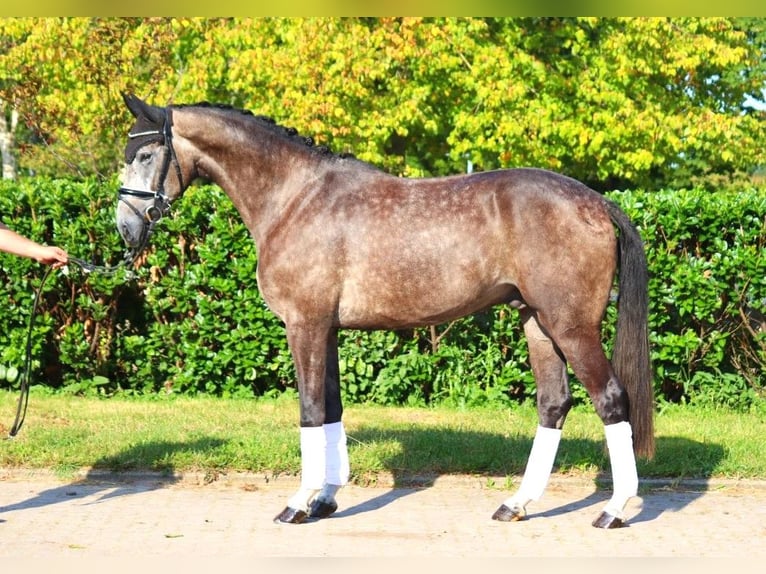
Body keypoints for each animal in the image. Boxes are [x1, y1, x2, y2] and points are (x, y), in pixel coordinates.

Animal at [117, 93, 656, 532]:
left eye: (144, 154)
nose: (125, 228)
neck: (294, 198)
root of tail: (594, 201)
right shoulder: (327, 329)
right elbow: (331, 408)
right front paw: (326, 500)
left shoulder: (304, 325)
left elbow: (310, 410)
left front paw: (298, 504)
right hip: (537, 322)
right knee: (554, 403)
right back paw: (516, 504)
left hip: (571, 326)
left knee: (610, 399)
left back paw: (613, 510)